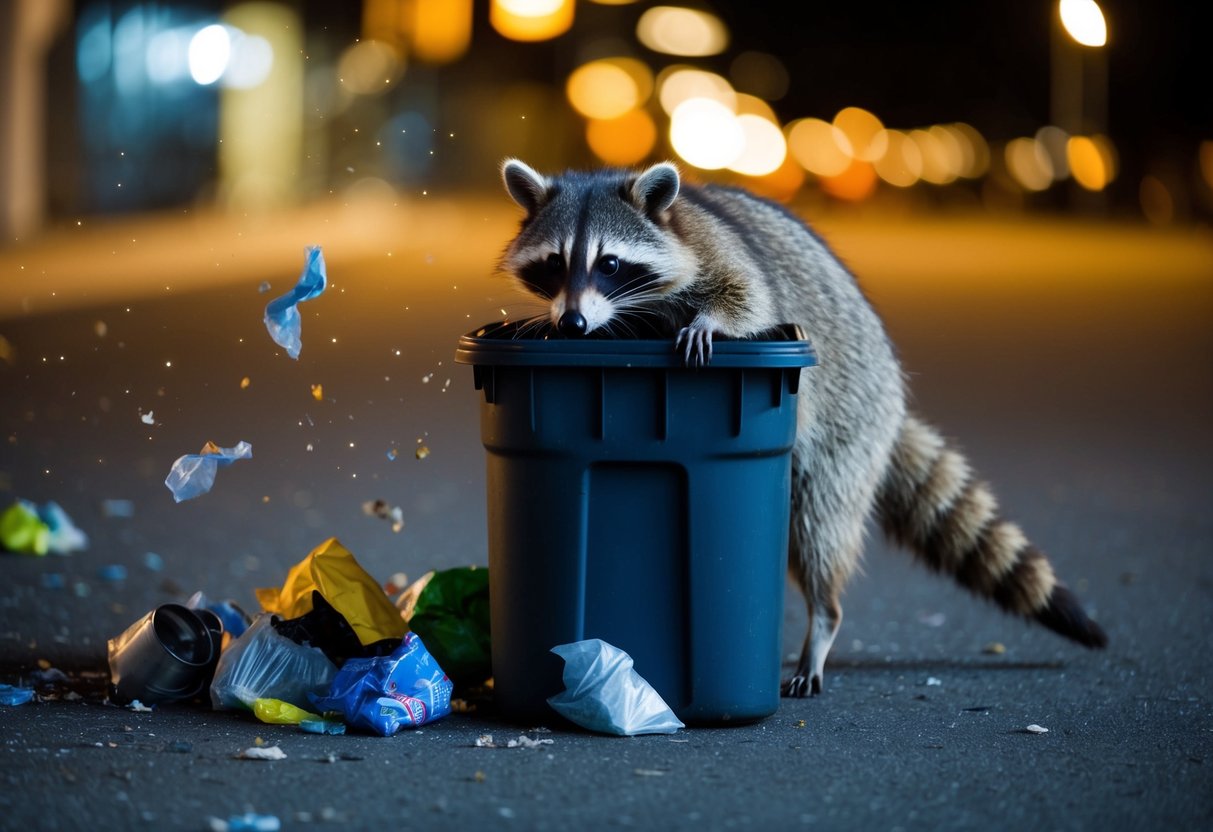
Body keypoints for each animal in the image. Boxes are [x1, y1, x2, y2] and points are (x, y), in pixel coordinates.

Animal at [498, 158, 1108, 696]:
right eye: (554, 263)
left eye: (611, 264)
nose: (573, 323)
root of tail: (892, 403)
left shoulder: (716, 250)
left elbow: (747, 297)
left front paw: (710, 320)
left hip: (848, 429)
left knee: (821, 530)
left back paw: (824, 620)